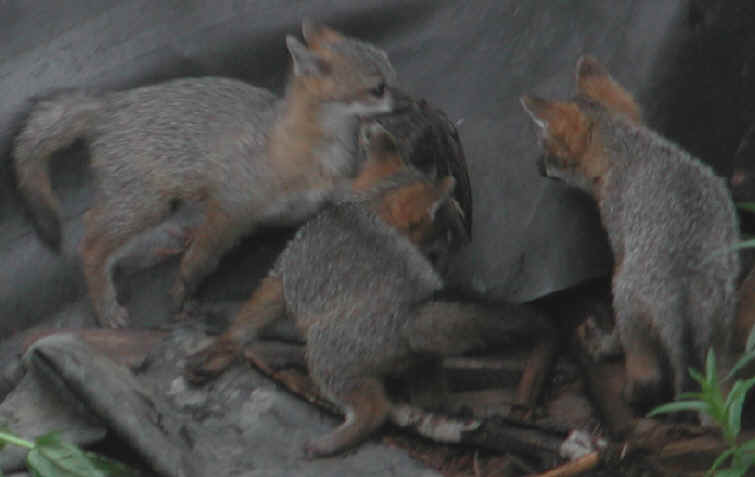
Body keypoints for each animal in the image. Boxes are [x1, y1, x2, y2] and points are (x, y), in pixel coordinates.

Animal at [12, 20, 399, 328]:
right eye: (379, 88)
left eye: (392, 71)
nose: (406, 100)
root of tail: (111, 102)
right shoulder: (230, 206)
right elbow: (199, 259)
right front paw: (181, 292)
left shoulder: (326, 193)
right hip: (145, 206)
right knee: (90, 243)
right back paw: (106, 305)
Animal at [184, 124, 552, 457]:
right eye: (448, 226)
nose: (460, 247)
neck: (364, 206)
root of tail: (412, 312)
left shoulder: (282, 276)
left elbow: (248, 318)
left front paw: (224, 345)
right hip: (424, 363)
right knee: (429, 399)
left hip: (324, 358)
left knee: (376, 410)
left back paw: (330, 443)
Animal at [520, 55, 740, 408]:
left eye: (546, 148)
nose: (536, 167)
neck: (631, 149)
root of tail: (683, 287)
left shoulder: (620, 245)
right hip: (718, 339)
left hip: (624, 297)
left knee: (647, 377)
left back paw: (611, 365)